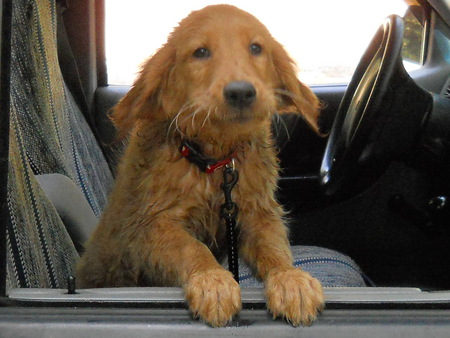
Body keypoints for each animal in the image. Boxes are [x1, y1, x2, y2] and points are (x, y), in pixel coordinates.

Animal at [76, 3, 324, 328]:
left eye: (256, 48)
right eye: (201, 52)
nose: (241, 91)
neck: (214, 163)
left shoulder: (259, 214)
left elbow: (274, 248)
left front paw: (290, 279)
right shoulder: (151, 225)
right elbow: (192, 248)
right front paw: (212, 280)